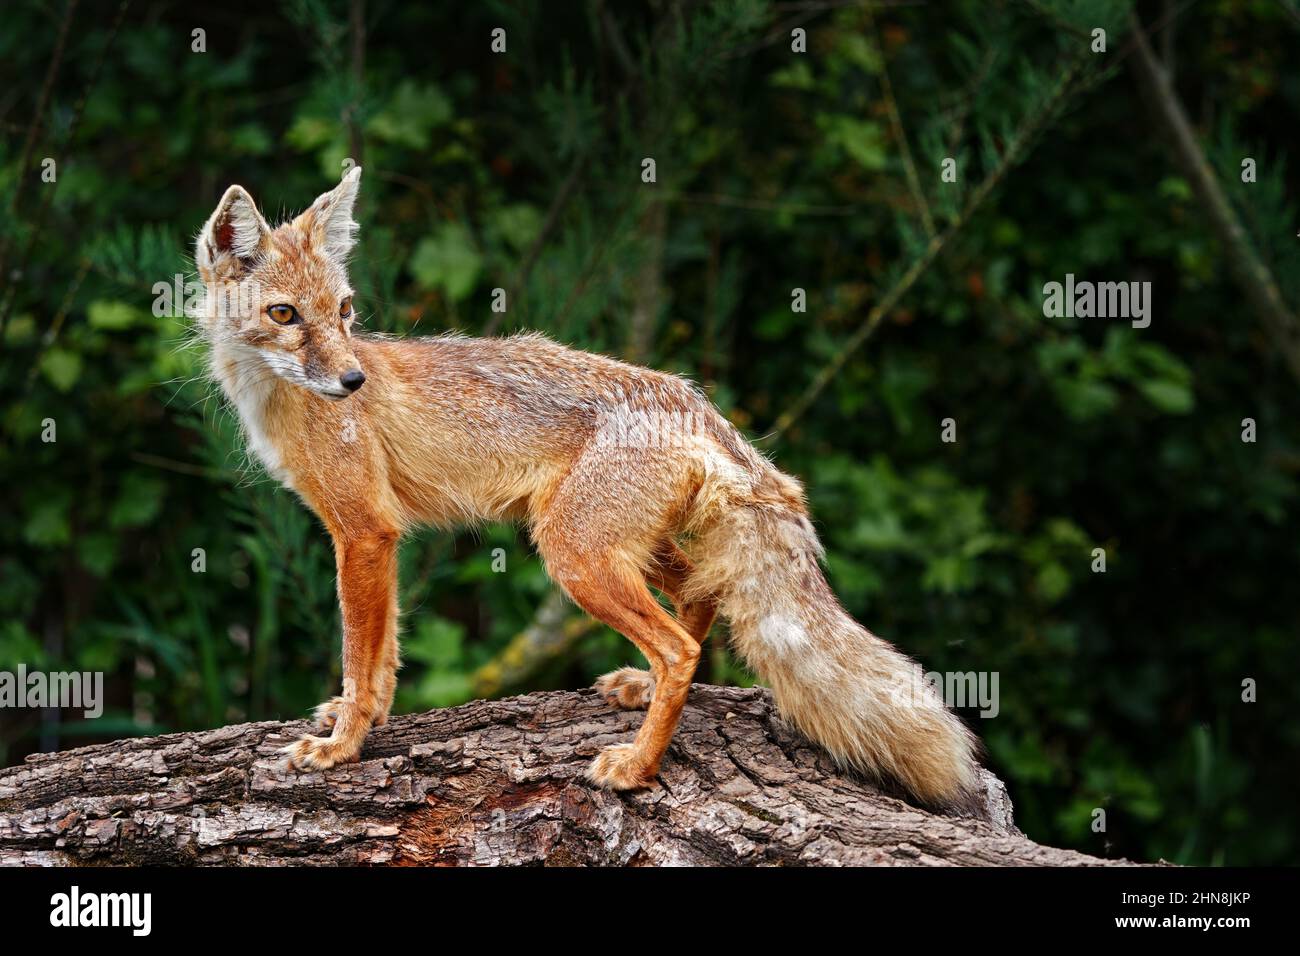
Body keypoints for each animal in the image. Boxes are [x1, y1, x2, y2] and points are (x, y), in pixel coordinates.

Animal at [193, 167, 980, 806]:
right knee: (699, 601)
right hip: (624, 549)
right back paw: (641, 693)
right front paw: (364, 718)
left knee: (681, 648)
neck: (278, 406)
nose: (354, 380)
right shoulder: (378, 537)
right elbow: (383, 656)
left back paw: (637, 768)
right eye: (286, 315)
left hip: (573, 552)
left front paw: (343, 747)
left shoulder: (362, 532)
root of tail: (690, 399)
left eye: (345, 311)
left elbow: (361, 652)